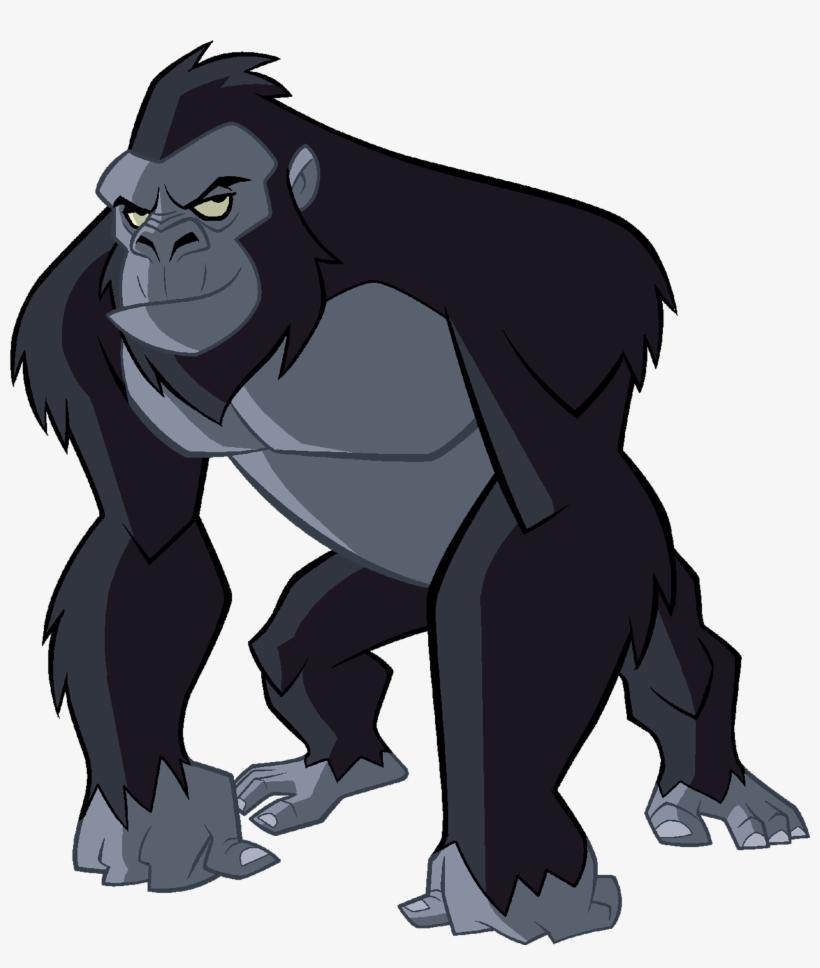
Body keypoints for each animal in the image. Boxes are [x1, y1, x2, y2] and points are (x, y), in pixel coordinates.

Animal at [11, 45, 808, 942]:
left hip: (635, 544)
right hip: (390, 586)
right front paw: (160, 825)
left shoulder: (537, 304)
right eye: (134, 212)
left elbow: (543, 544)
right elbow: (150, 538)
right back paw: (336, 766)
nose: (162, 244)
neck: (298, 300)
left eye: (216, 199)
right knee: (295, 646)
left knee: (660, 635)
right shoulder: (77, 327)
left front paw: (509, 882)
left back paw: (707, 782)